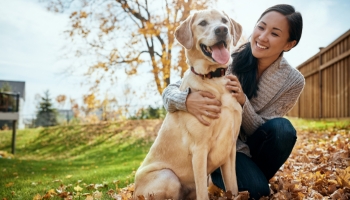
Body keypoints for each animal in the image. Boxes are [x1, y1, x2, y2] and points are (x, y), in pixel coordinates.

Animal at [135, 8, 243, 199]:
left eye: (224, 21)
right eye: (203, 23)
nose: (222, 30)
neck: (214, 79)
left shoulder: (230, 150)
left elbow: (234, 187)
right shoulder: (199, 150)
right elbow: (203, 194)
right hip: (168, 176)